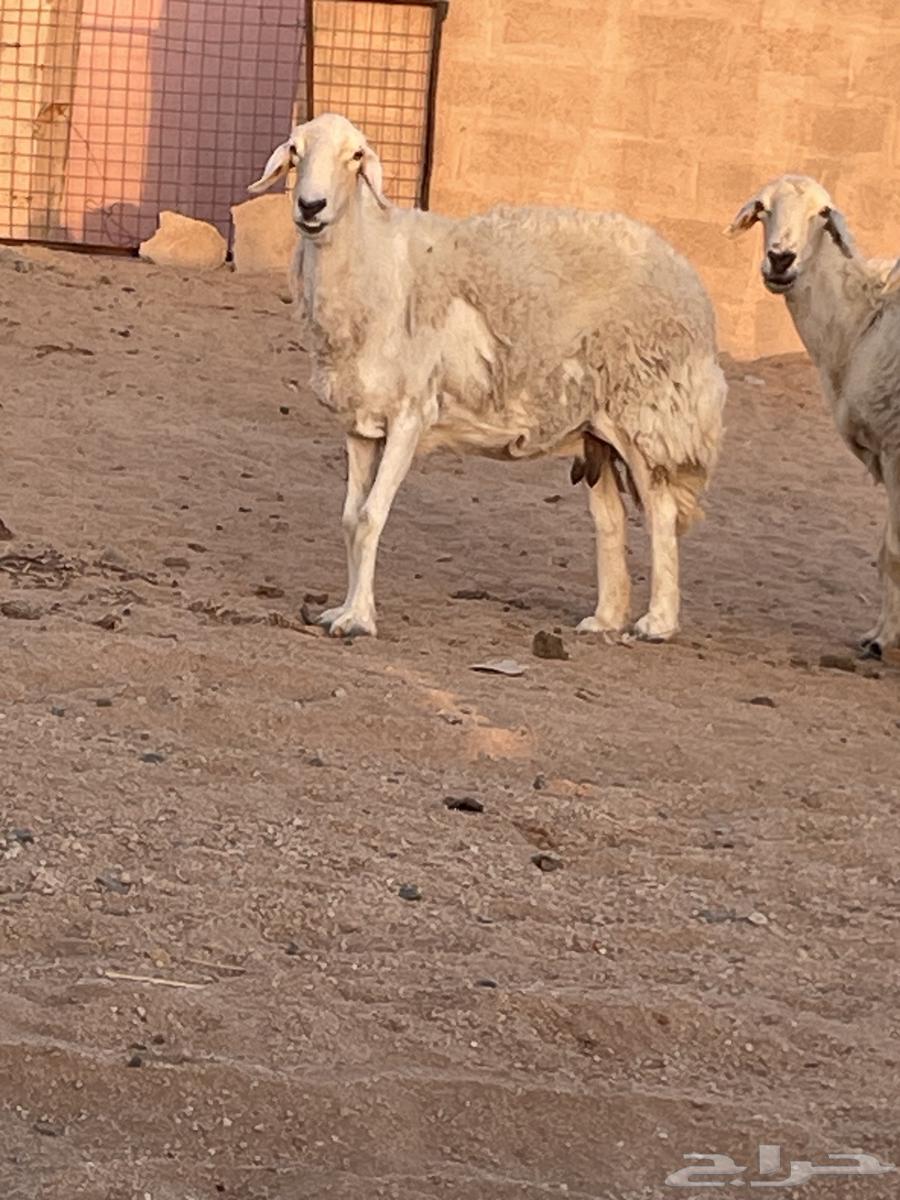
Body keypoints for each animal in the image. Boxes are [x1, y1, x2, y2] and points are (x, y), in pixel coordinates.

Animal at [249, 113, 726, 640]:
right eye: (295, 150)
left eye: (356, 155)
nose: (310, 206)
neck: (378, 264)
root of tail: (686, 272)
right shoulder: (361, 425)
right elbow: (352, 519)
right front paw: (343, 610)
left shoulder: (410, 414)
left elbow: (372, 516)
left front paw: (359, 619)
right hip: (595, 428)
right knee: (611, 519)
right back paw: (604, 618)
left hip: (649, 409)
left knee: (661, 514)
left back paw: (656, 622)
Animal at [727, 174, 900, 657]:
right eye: (762, 208)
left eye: (823, 214)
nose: (780, 258)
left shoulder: (895, 446)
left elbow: (893, 551)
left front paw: (882, 640)